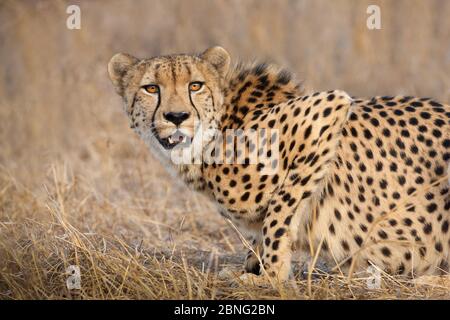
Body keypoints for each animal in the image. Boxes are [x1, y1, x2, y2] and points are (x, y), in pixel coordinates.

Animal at [107, 45, 448, 282]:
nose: (177, 117)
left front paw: (270, 276)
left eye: (195, 85)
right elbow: (259, 231)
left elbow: (279, 212)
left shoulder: (325, 111)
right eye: (151, 88)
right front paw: (251, 267)